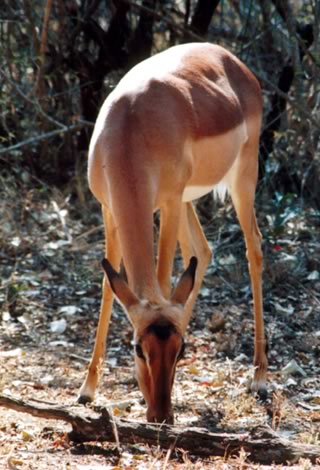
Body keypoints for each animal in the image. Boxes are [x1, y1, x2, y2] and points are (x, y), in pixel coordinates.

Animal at [79, 43, 266, 422]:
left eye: (181, 349)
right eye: (138, 348)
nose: (161, 415)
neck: (130, 130)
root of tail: (232, 61)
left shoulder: (166, 203)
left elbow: (163, 279)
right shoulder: (109, 208)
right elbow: (109, 285)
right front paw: (87, 389)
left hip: (240, 180)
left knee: (254, 248)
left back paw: (260, 377)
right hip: (187, 199)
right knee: (203, 251)